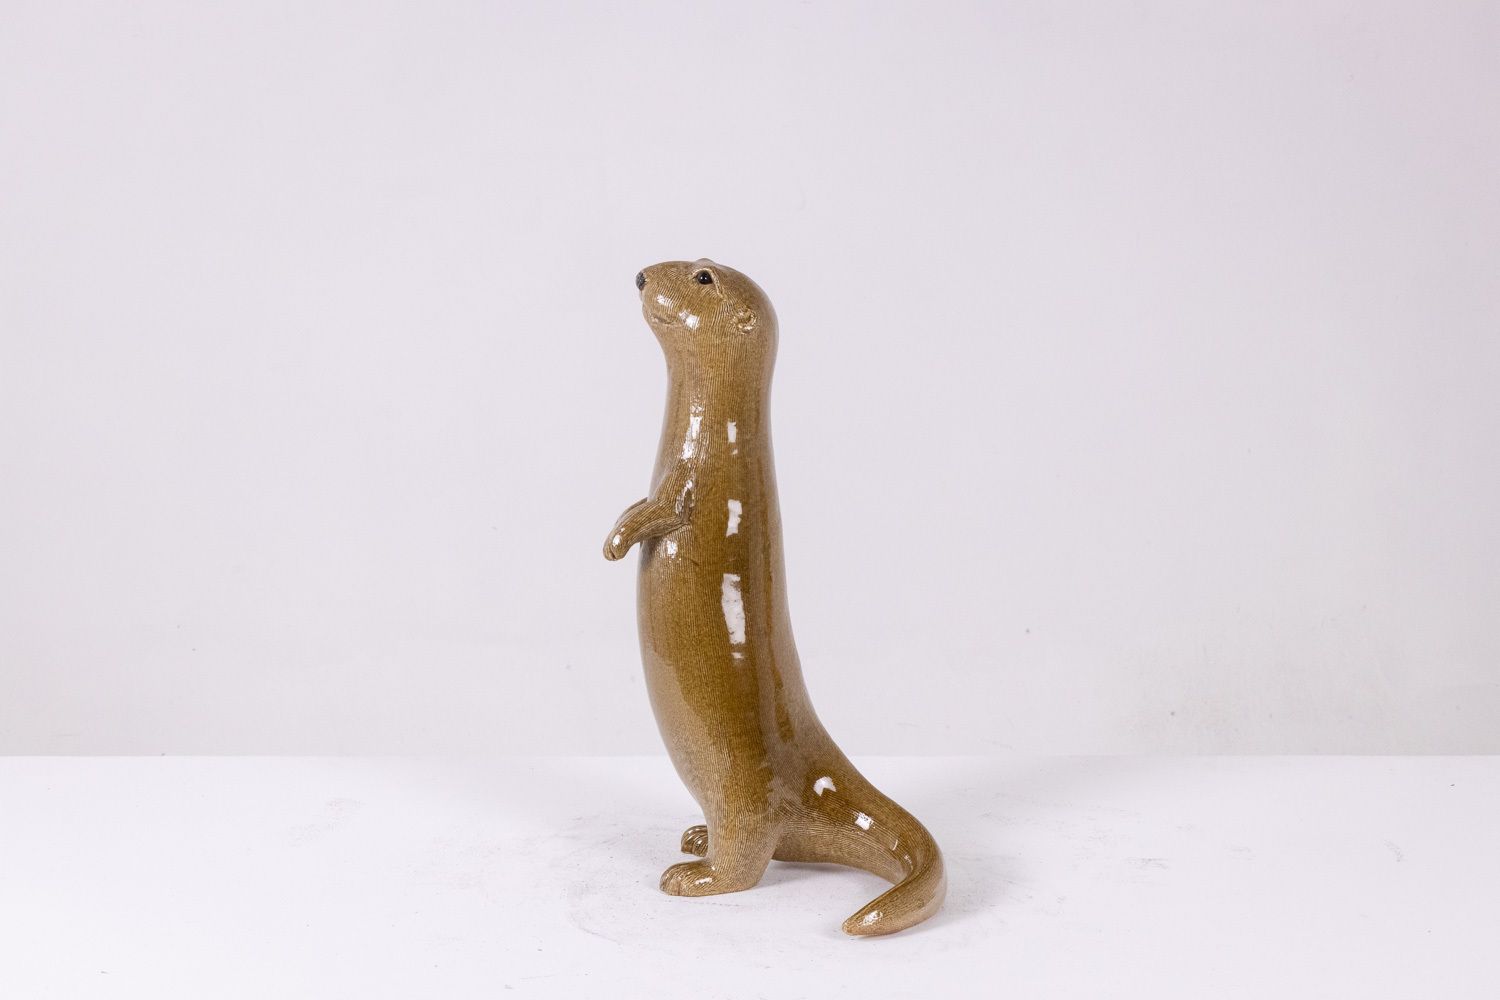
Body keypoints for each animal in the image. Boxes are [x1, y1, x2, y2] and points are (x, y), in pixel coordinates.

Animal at [603, 258, 945, 936]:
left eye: (702, 276)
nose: (642, 275)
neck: (712, 440)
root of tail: (816, 768)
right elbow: (637, 501)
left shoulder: (692, 485)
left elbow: (657, 512)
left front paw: (617, 540)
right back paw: (694, 836)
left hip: (742, 784)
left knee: (748, 858)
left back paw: (696, 873)